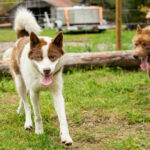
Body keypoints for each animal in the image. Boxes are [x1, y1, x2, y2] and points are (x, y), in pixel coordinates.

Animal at [4, 7, 72, 145]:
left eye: (52, 57)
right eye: (39, 57)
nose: (46, 70)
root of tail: (22, 38)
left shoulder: (57, 94)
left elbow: (63, 118)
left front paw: (66, 137)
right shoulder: (34, 93)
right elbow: (37, 115)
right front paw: (39, 132)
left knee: (23, 98)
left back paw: (19, 110)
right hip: (20, 82)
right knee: (26, 103)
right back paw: (27, 122)